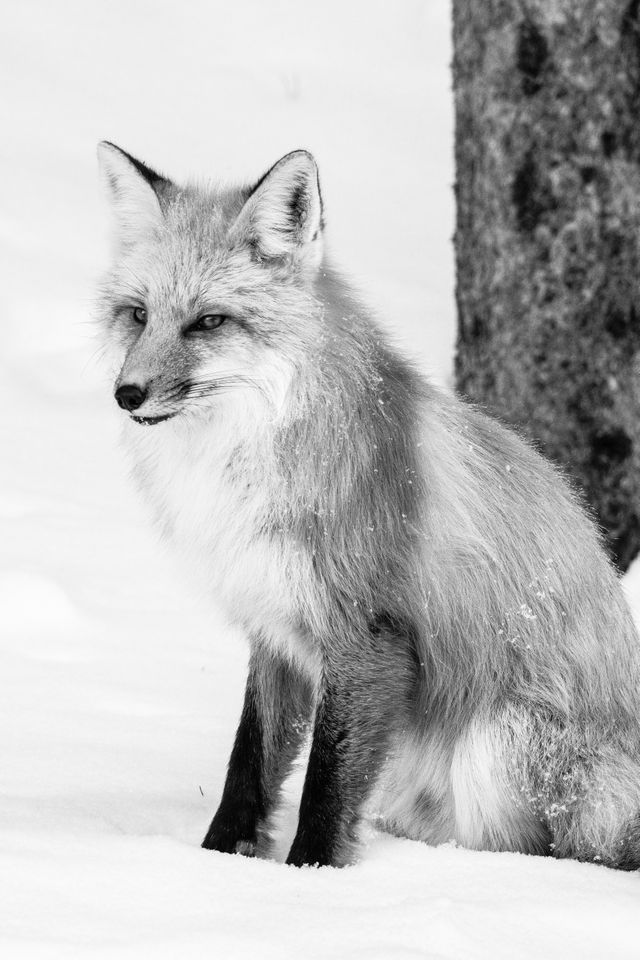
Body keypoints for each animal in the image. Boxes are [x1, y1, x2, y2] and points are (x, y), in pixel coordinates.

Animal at [95, 141, 640, 872]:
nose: (127, 393)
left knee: (547, 851)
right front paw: (221, 861)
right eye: (138, 314)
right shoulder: (274, 625)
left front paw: (311, 877)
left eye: (209, 321)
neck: (245, 460)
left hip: (498, 741)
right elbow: (250, 764)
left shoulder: (368, 632)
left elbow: (326, 783)